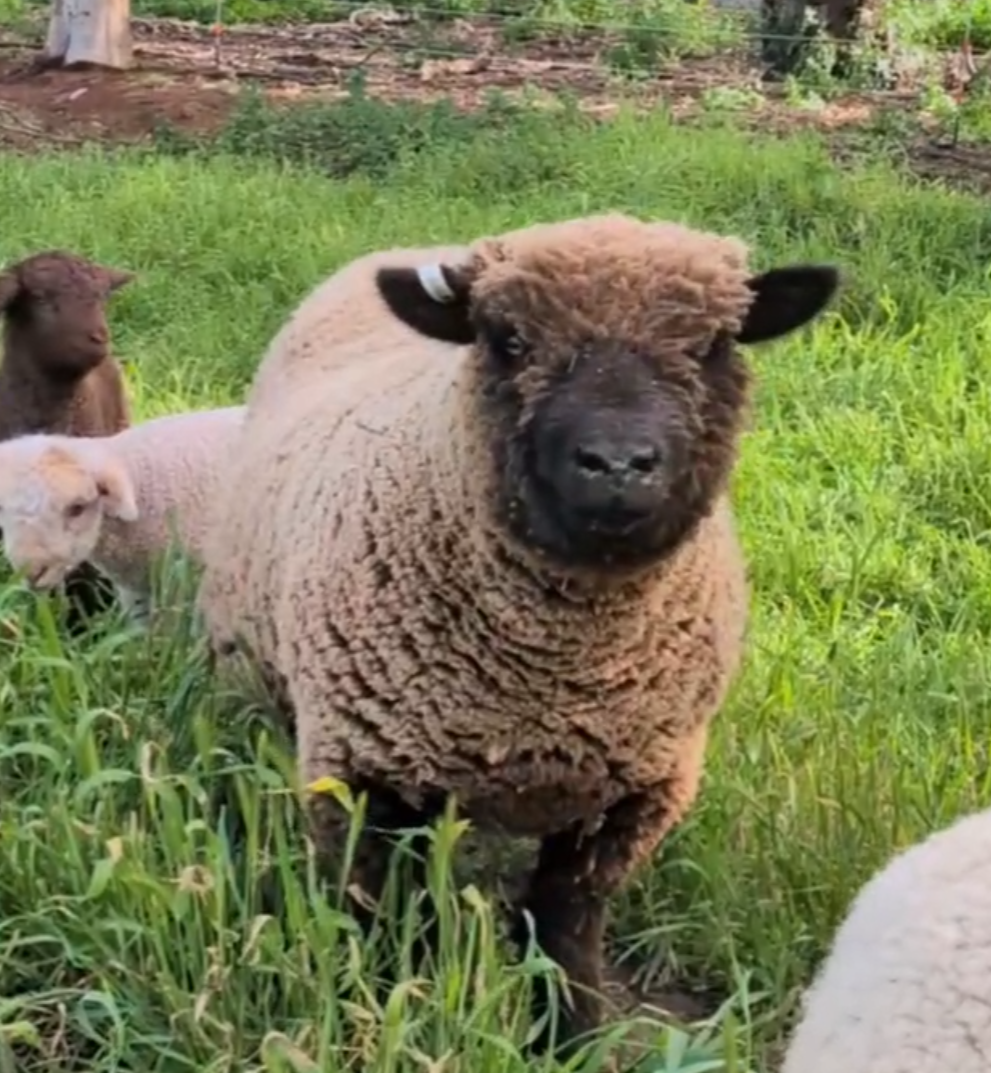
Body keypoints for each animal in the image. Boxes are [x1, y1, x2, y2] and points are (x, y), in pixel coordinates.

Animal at [196, 212, 840, 1056]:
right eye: (506, 339)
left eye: (712, 343)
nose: (617, 464)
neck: (551, 678)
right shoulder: (360, 778)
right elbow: (391, 924)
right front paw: (395, 1020)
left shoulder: (634, 795)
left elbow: (563, 925)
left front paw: (569, 1038)